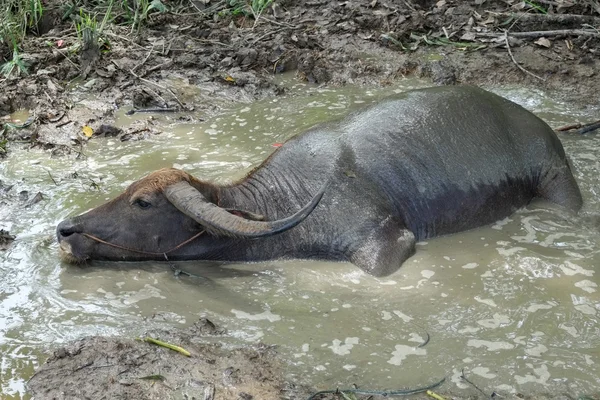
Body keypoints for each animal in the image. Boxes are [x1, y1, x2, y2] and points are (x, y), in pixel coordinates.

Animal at [56, 86, 580, 276]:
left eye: (143, 203)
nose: (65, 229)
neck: (284, 203)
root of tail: (541, 127)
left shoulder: (384, 241)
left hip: (558, 183)